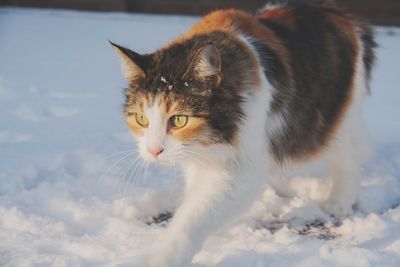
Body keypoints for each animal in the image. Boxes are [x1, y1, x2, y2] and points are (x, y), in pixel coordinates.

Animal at [110, 1, 376, 266]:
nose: (153, 150)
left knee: (348, 158)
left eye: (179, 120)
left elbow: (195, 215)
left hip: (336, 117)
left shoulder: (243, 165)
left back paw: (338, 202)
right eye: (141, 119)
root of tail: (335, 12)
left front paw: (164, 256)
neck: (211, 141)